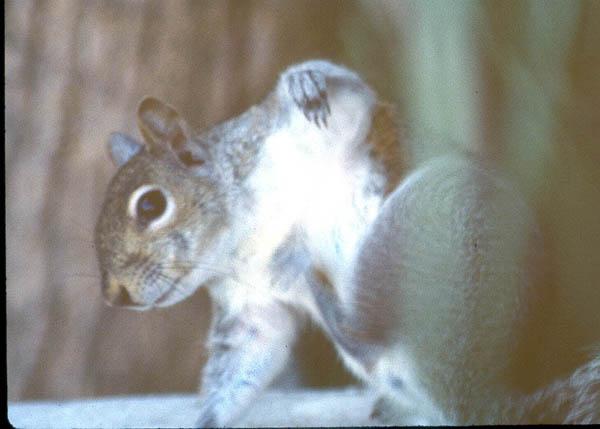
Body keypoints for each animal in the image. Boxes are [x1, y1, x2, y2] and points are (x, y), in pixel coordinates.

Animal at [96, 60, 596, 424]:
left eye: (150, 205)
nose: (115, 295)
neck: (244, 238)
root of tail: (482, 396)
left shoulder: (300, 134)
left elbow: (347, 95)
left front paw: (304, 82)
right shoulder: (250, 304)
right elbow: (247, 356)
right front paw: (206, 420)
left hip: (422, 227)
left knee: (366, 331)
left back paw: (305, 269)